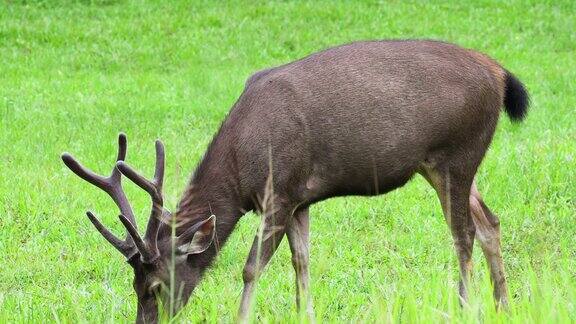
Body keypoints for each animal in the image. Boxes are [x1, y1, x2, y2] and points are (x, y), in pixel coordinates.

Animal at [62, 40, 528, 324]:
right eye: (133, 284)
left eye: (155, 286)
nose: (146, 321)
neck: (241, 167)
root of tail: (502, 74)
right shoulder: (302, 199)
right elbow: (301, 261)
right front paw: (306, 312)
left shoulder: (280, 191)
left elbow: (251, 268)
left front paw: (242, 315)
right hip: (445, 164)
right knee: (490, 221)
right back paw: (504, 305)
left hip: (458, 151)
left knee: (463, 233)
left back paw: (467, 306)